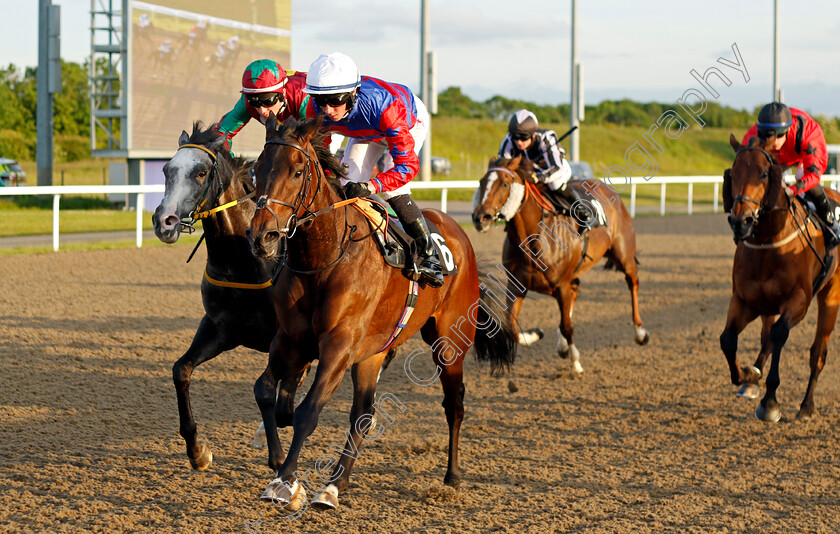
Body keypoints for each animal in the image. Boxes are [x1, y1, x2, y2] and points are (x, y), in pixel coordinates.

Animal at [153, 124, 310, 474]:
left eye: (200, 173)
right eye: (167, 170)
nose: (164, 222)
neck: (243, 262)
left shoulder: (287, 338)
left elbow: (271, 392)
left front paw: (278, 456)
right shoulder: (220, 329)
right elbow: (181, 370)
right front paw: (197, 450)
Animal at [246, 117, 516, 516]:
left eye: (296, 171)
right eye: (257, 169)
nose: (262, 236)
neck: (324, 258)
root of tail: (458, 235)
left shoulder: (338, 345)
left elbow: (308, 412)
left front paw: (284, 481)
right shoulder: (290, 341)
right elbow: (266, 392)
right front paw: (281, 464)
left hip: (449, 343)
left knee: (454, 404)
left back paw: (452, 476)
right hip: (373, 353)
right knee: (364, 412)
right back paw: (334, 485)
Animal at [472, 155, 648, 374]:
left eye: (505, 183)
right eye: (481, 182)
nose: (481, 218)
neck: (534, 241)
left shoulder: (561, 285)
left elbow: (567, 326)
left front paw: (576, 362)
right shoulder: (516, 286)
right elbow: (511, 327)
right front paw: (536, 333)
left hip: (623, 255)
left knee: (633, 281)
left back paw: (640, 332)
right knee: (575, 292)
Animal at [720, 134, 836, 422]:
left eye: (764, 174)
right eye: (733, 173)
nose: (740, 222)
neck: (768, 242)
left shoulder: (799, 301)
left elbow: (780, 333)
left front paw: (770, 402)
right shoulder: (744, 300)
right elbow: (728, 340)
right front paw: (747, 375)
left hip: (831, 295)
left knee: (818, 352)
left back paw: (806, 405)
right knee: (766, 338)